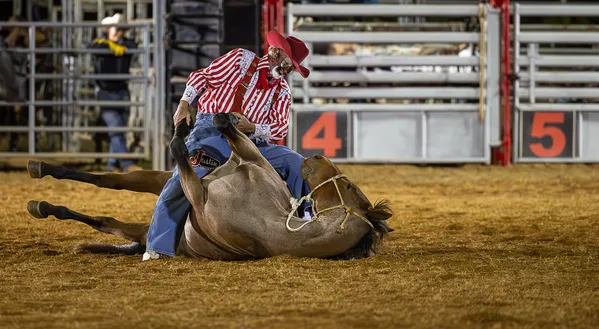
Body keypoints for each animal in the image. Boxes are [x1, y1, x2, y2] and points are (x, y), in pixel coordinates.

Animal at [27, 113, 394, 258]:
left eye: (349, 186)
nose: (317, 155)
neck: (271, 221)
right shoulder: (248, 159)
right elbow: (233, 136)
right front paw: (214, 119)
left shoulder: (198, 194)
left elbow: (180, 152)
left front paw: (183, 134)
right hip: (159, 183)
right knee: (111, 184)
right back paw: (42, 174)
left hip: (151, 212)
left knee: (108, 220)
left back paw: (44, 205)